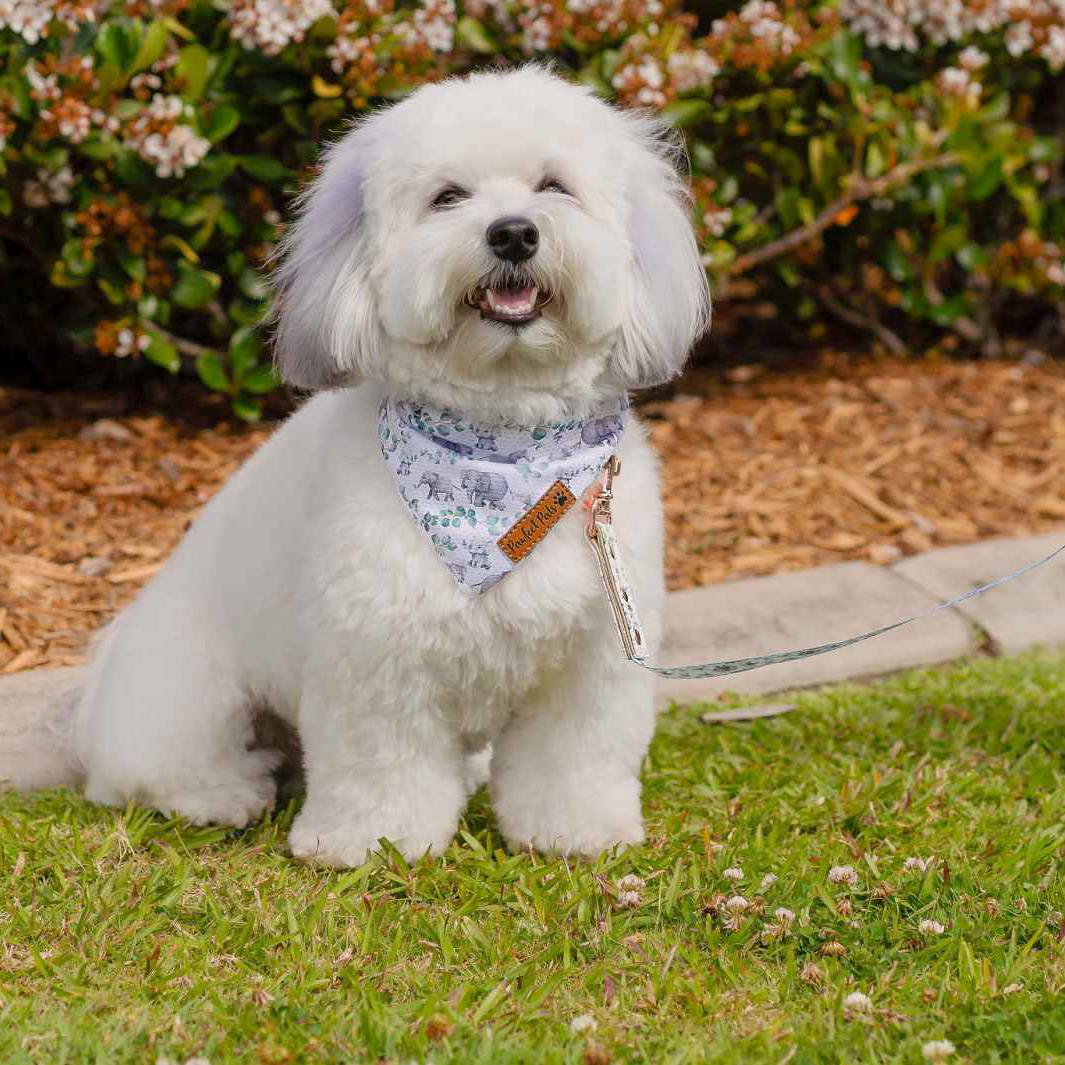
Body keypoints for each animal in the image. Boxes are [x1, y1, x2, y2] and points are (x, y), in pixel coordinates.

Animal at [60, 68, 707, 864]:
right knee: (145, 773)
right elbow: (382, 766)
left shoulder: (590, 662)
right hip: (189, 695)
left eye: (554, 186)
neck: (506, 459)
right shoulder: (377, 655)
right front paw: (371, 842)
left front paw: (574, 830)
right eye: (447, 197)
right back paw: (223, 796)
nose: (513, 232)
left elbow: (572, 759)